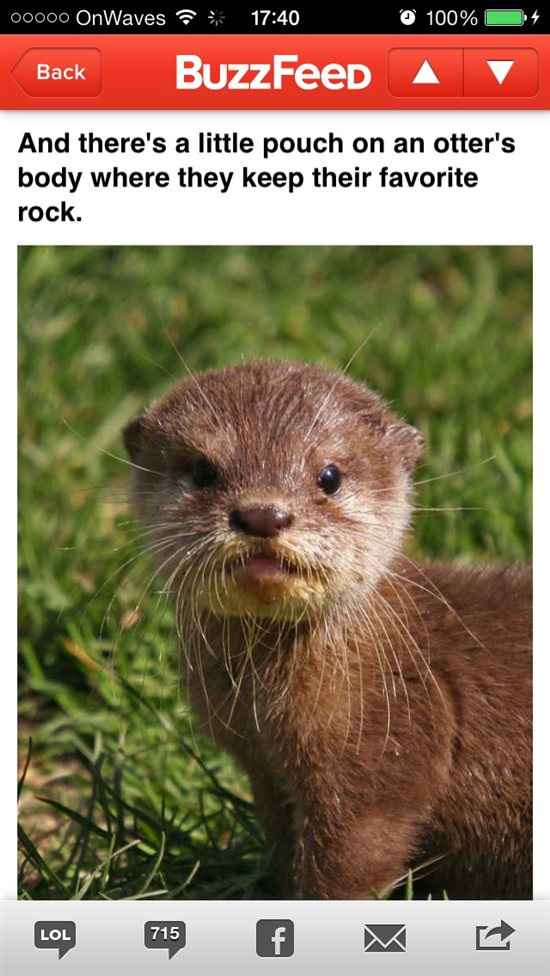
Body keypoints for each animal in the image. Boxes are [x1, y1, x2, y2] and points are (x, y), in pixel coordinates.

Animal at [123, 360, 532, 899]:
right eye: (204, 470)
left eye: (330, 476)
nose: (263, 513)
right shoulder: (262, 768)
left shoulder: (383, 761)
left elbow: (352, 863)